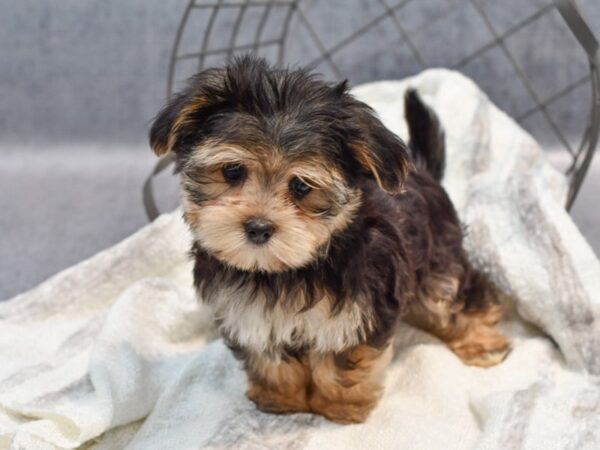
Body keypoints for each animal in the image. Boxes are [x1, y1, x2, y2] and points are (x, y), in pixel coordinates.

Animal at [148, 54, 508, 424]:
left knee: (452, 296)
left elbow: (341, 363)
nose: (258, 227)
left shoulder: (357, 310)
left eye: (301, 186)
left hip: (437, 254)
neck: (285, 272)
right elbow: (271, 359)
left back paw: (481, 337)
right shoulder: (251, 313)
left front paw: (338, 407)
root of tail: (422, 172)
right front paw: (282, 398)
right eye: (232, 171)